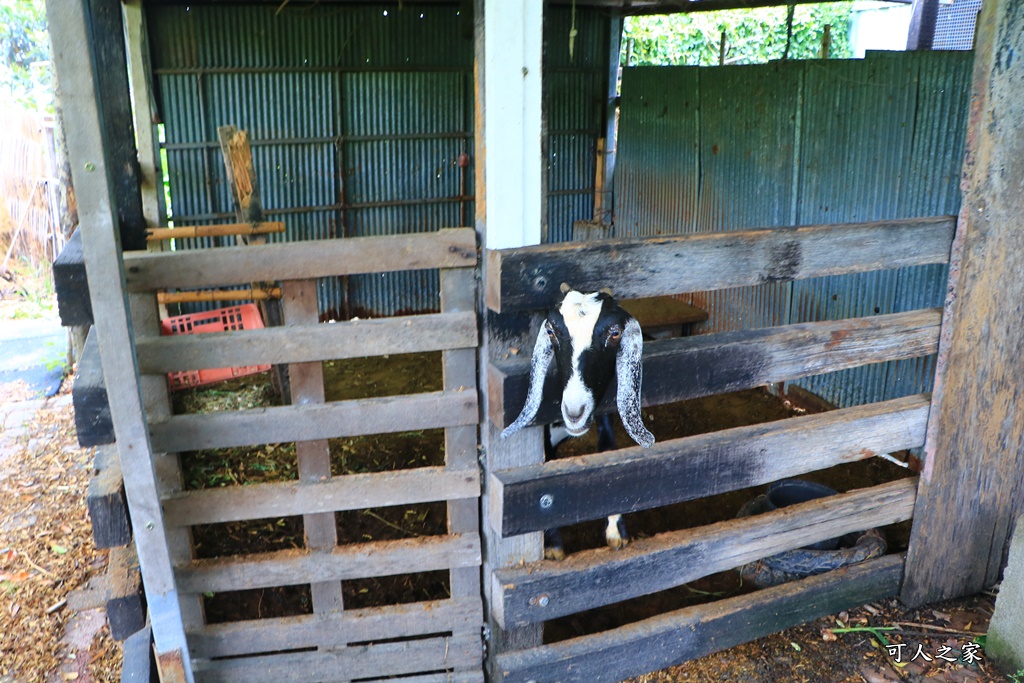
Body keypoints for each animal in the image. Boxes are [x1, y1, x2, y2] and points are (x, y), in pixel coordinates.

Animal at [499, 282, 651, 557]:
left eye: (615, 332)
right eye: (551, 331)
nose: (574, 411)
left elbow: (608, 450)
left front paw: (616, 529)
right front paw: (553, 543)